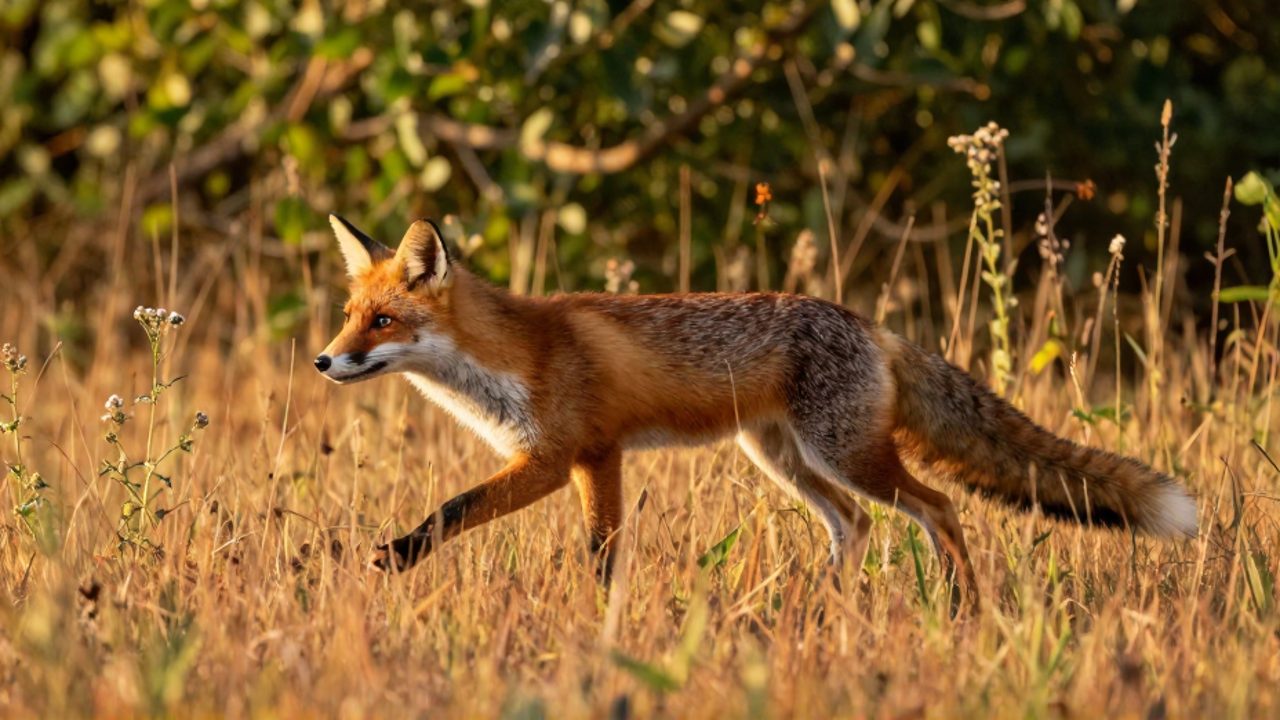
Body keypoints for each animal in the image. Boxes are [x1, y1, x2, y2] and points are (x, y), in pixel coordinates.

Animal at [315, 214, 1197, 596]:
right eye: (350, 314)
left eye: (383, 321)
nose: (324, 360)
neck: (511, 357)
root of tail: (870, 325)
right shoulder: (581, 460)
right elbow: (586, 546)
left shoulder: (572, 455)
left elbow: (464, 509)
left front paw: (401, 557)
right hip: (783, 459)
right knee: (857, 524)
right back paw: (820, 605)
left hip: (842, 453)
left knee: (938, 508)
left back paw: (961, 605)